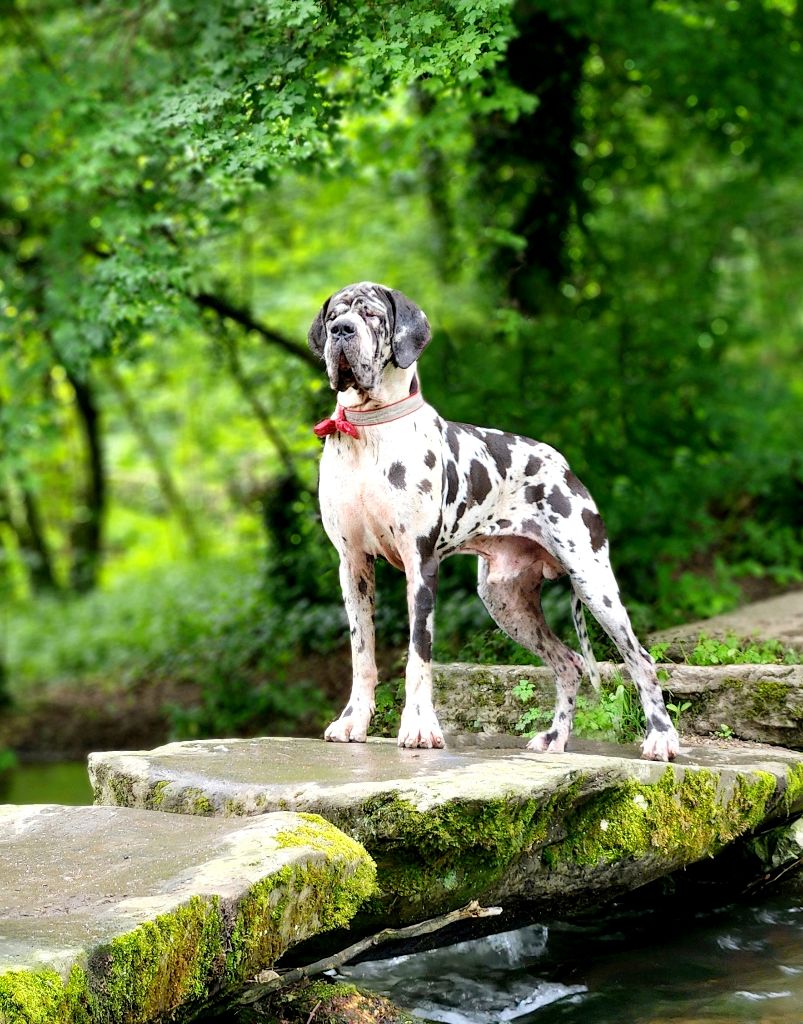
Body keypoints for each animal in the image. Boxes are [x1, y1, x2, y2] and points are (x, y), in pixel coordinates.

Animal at [307, 280, 675, 761]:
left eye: (371, 315)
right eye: (335, 316)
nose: (342, 332)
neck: (370, 433)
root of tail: (565, 467)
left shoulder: (420, 566)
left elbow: (418, 657)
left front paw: (420, 727)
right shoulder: (352, 566)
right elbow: (362, 653)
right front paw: (353, 721)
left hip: (595, 585)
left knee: (640, 659)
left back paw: (661, 737)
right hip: (506, 601)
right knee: (570, 663)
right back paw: (555, 738)